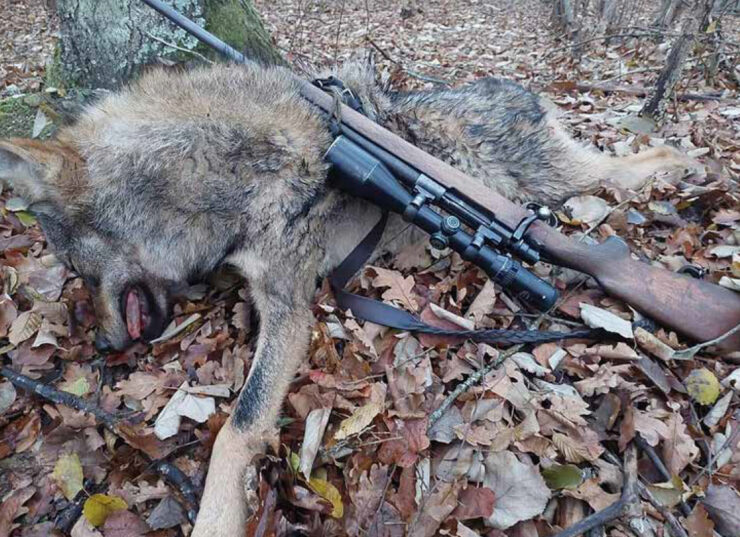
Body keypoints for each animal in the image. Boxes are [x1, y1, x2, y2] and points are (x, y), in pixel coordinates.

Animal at [0, 60, 699, 536]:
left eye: (74, 267)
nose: (101, 346)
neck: (228, 169)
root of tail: (517, 88)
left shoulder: (289, 310)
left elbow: (237, 429)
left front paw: (216, 519)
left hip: (560, 178)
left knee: (630, 165)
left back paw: (688, 169)